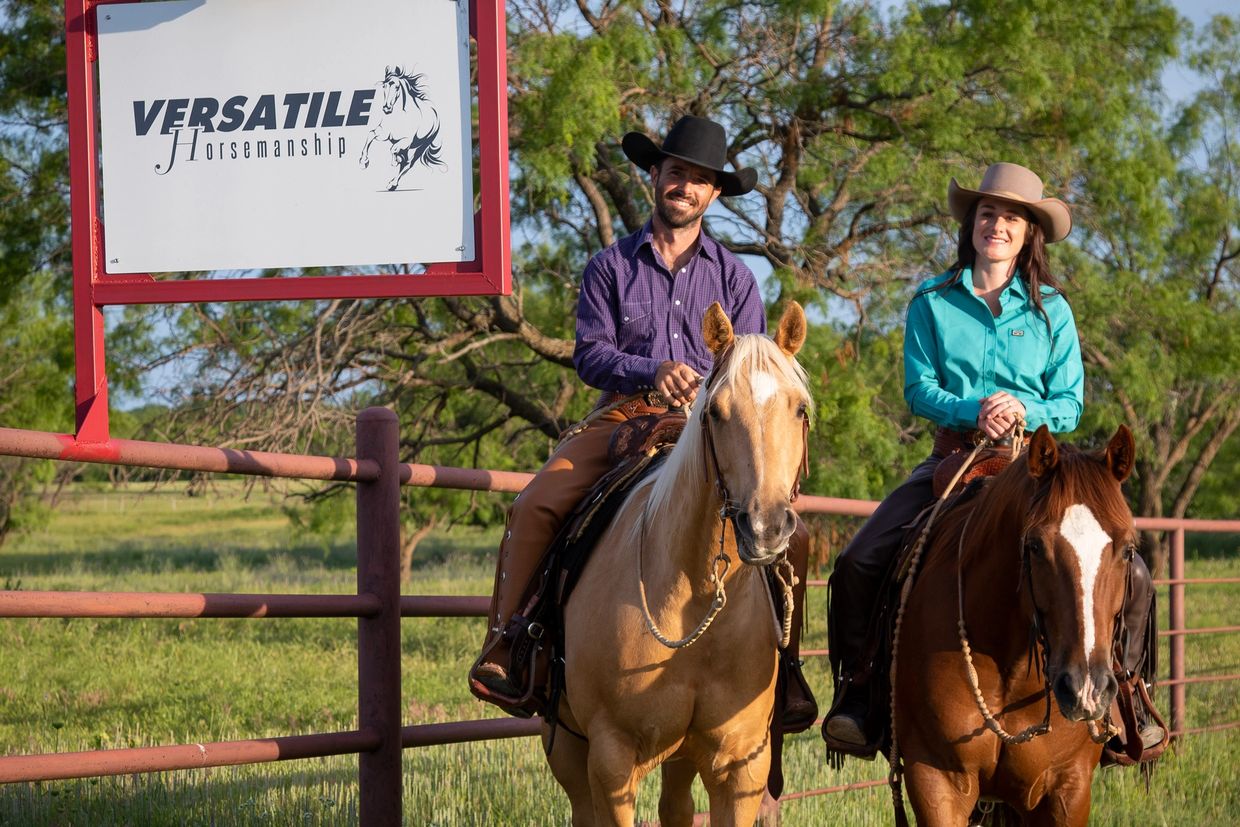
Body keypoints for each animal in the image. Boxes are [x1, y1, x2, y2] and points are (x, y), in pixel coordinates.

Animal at [548, 303, 818, 827]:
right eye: (716, 411)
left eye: (799, 408)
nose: (765, 527)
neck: (694, 597)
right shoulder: (611, 763)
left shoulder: (740, 767)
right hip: (567, 746)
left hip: (681, 756)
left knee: (676, 805)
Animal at [887, 424, 1135, 823]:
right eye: (1034, 545)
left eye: (1128, 550)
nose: (1086, 689)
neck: (1011, 667)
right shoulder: (936, 781)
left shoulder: (1069, 788)